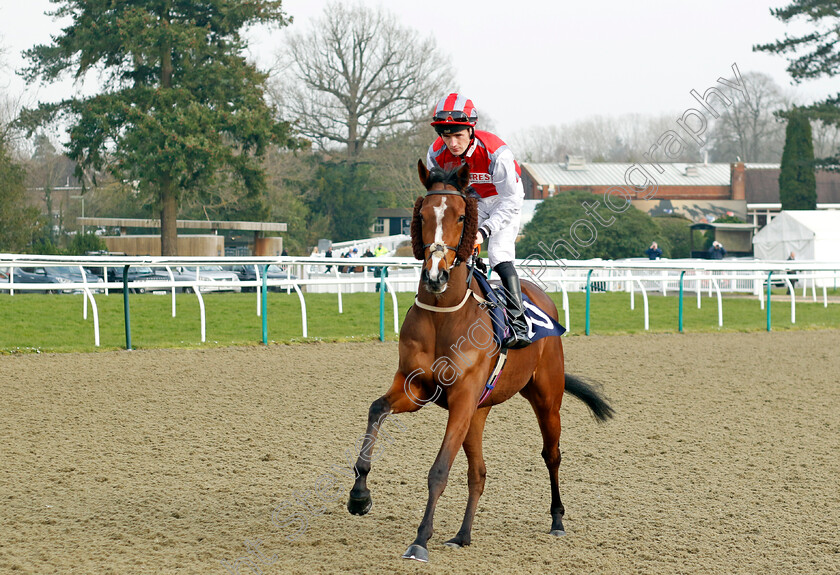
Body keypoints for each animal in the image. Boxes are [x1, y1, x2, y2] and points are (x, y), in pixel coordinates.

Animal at [344, 161, 612, 564]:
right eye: (422, 215)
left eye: (459, 216)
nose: (435, 275)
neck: (443, 315)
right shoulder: (416, 387)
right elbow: (376, 409)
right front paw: (359, 496)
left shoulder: (461, 399)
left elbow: (439, 469)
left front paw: (420, 540)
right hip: (479, 413)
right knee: (479, 473)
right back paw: (463, 534)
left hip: (546, 398)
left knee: (552, 455)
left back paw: (557, 520)